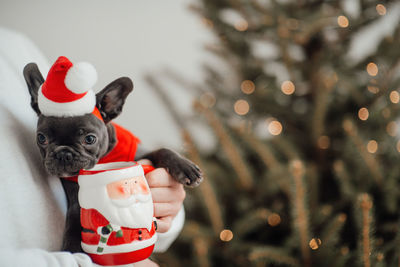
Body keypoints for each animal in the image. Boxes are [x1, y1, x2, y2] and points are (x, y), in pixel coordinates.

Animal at [23, 62, 202, 253]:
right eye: (41, 138)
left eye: (89, 139)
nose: (64, 153)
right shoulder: (74, 192)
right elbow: (75, 216)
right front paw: (72, 246)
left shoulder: (138, 154)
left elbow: (162, 150)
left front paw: (185, 167)